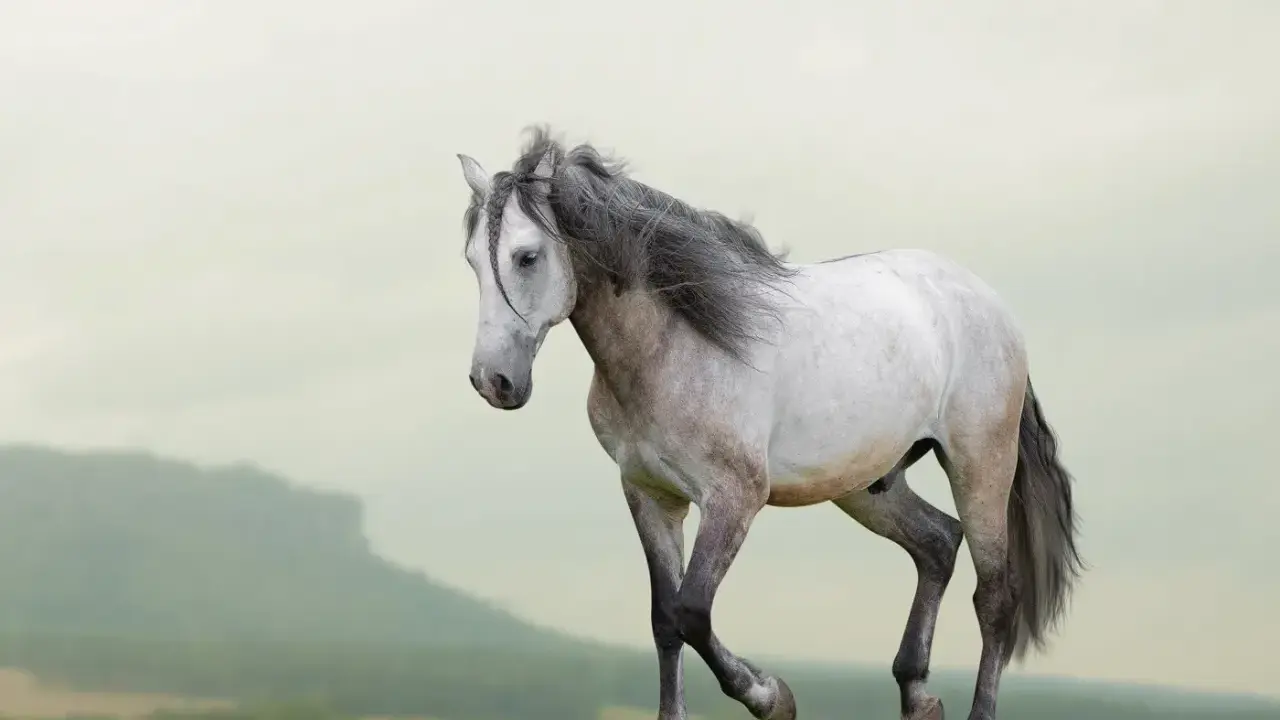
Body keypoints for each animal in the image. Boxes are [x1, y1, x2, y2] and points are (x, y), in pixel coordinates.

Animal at [451, 127, 1083, 720]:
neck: (677, 344)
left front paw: (772, 696)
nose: (493, 381)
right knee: (937, 544)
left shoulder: (734, 498)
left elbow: (692, 612)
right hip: (868, 486)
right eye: (472, 260)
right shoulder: (650, 496)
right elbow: (663, 621)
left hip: (980, 467)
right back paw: (918, 697)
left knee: (995, 596)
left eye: (527, 256)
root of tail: (992, 306)